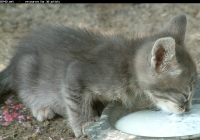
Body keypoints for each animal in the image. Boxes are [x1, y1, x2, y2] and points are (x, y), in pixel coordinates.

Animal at [0, 14, 197, 138]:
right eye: (185, 94)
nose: (188, 109)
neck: (126, 67)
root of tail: (15, 59)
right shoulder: (75, 72)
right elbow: (76, 103)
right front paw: (84, 123)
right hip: (28, 69)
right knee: (25, 91)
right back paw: (41, 108)